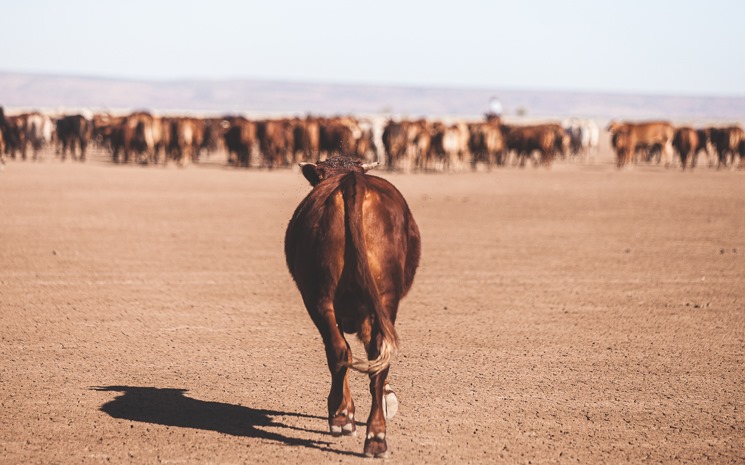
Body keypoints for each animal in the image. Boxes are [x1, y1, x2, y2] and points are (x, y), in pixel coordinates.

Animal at [284, 156, 422, 456]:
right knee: (361, 354)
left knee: (342, 351)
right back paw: (368, 431)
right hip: (372, 300)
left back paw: (347, 421)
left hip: (320, 298)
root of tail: (351, 182)